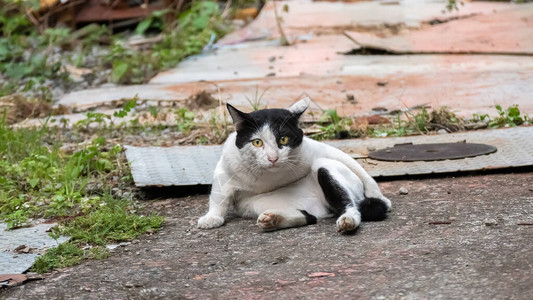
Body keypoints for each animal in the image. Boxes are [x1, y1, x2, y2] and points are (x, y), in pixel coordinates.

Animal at [197, 97, 388, 233]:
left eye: (283, 139)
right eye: (257, 142)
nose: (273, 158)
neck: (266, 178)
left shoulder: (315, 149)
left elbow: (356, 167)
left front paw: (375, 192)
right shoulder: (225, 168)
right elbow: (218, 197)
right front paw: (212, 217)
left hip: (323, 166)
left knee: (350, 206)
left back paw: (348, 220)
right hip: (254, 204)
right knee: (309, 217)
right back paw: (273, 219)